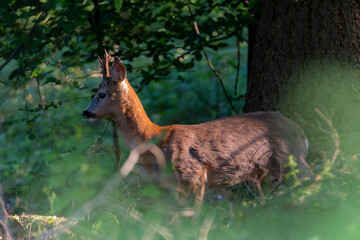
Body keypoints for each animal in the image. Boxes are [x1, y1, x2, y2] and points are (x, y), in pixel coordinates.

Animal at [83, 51, 310, 203]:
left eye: (101, 94)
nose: (85, 112)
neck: (153, 139)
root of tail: (301, 132)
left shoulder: (193, 174)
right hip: (264, 171)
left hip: (289, 157)